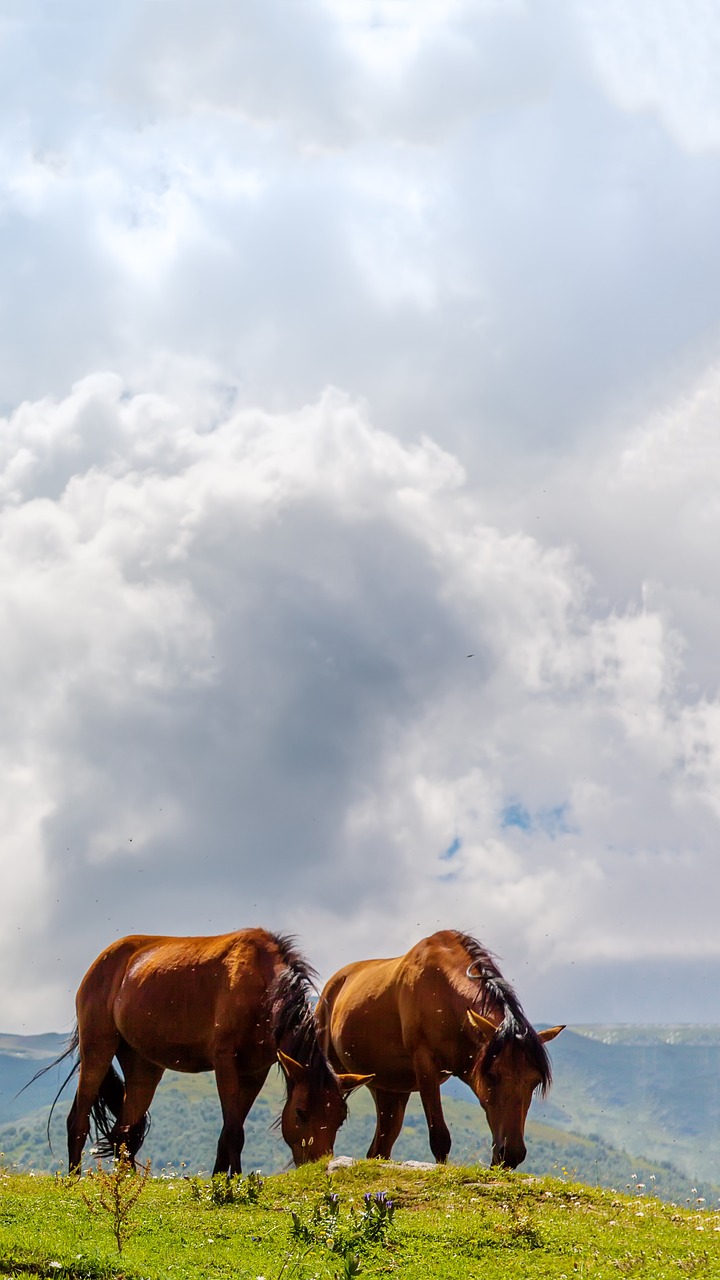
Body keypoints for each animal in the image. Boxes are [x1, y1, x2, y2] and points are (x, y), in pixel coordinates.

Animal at [44, 926, 366, 1172]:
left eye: (340, 1117)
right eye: (300, 1113)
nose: (319, 1165)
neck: (262, 987)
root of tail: (101, 962)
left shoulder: (254, 1072)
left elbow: (226, 1135)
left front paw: (220, 1182)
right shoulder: (225, 1063)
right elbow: (234, 1133)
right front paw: (234, 1185)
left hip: (143, 1065)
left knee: (125, 1133)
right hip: (98, 1048)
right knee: (78, 1120)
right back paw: (73, 1179)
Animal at [316, 931, 563, 1172]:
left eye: (534, 1082)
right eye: (492, 1076)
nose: (511, 1154)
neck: (441, 992)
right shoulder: (425, 1066)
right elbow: (440, 1138)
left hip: (389, 1091)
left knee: (379, 1149)